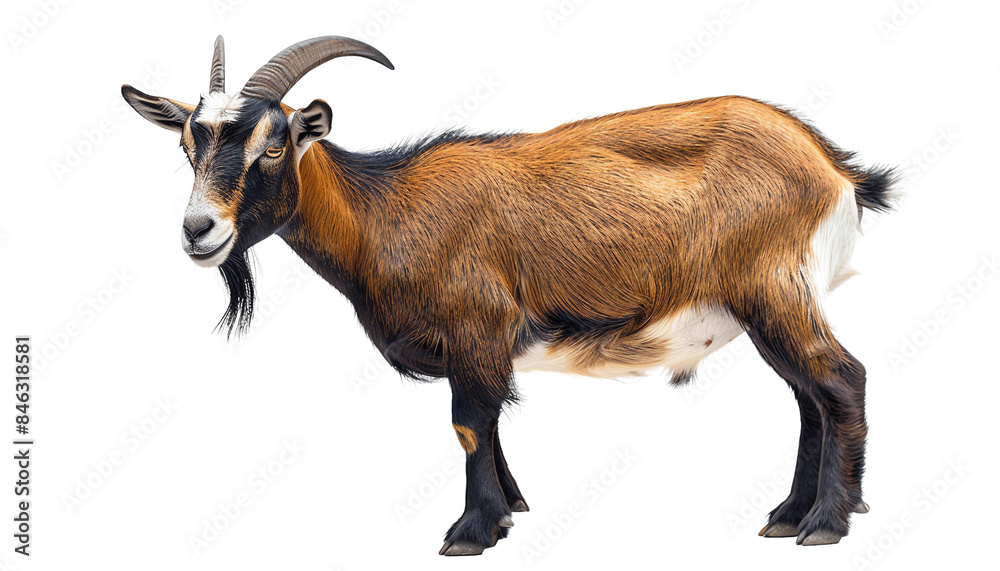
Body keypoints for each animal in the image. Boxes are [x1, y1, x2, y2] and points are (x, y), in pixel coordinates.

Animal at [122, 35, 896, 555]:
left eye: (274, 143)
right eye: (189, 143)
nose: (199, 230)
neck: (386, 210)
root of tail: (832, 166)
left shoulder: (476, 326)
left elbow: (469, 424)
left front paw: (471, 530)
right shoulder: (482, 349)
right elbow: (488, 425)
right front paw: (512, 507)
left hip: (775, 290)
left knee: (840, 379)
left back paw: (827, 522)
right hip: (769, 305)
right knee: (808, 395)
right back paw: (789, 514)